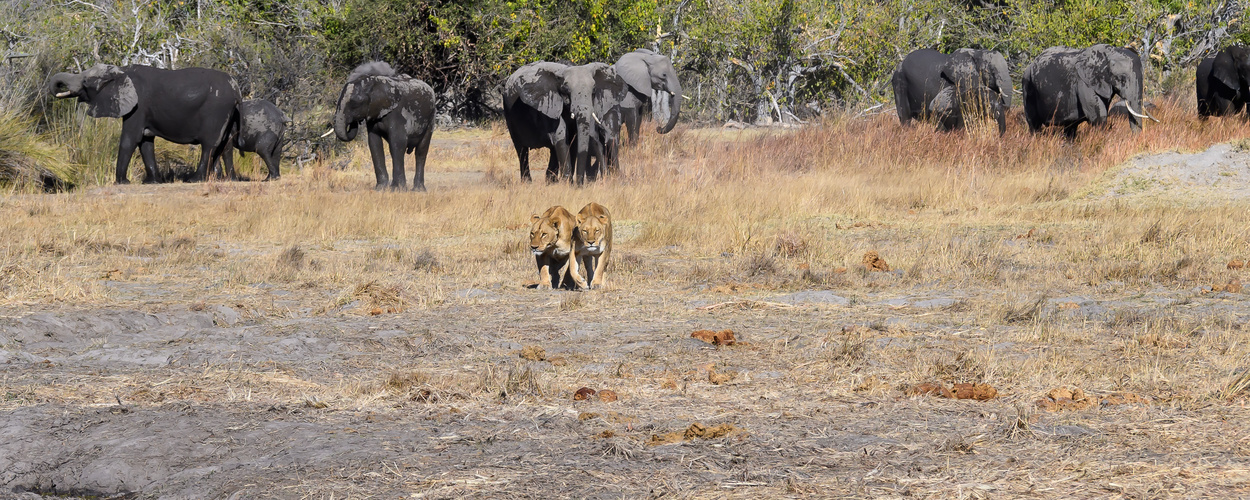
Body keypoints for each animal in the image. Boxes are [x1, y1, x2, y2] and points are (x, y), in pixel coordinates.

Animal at [48, 63, 240, 185]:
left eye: (86, 82)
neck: (121, 71)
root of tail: (236, 87)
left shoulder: (138, 107)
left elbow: (130, 139)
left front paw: (121, 182)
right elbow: (145, 142)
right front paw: (152, 182)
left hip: (216, 109)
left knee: (210, 145)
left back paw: (195, 180)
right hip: (228, 112)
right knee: (226, 144)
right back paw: (225, 179)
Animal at [335, 60, 437, 190]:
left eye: (355, 103)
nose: (355, 122)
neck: (375, 82)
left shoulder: (397, 113)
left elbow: (397, 143)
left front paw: (397, 189)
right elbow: (374, 144)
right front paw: (381, 188)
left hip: (431, 117)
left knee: (421, 151)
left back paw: (418, 190)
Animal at [1020, 44, 1155, 137]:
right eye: (1121, 79)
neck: (1109, 54)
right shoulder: (1084, 83)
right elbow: (1098, 115)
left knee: (1070, 127)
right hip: (1027, 84)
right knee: (1034, 124)